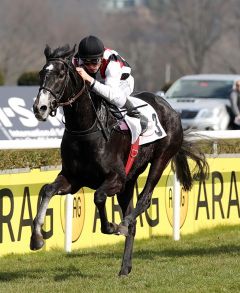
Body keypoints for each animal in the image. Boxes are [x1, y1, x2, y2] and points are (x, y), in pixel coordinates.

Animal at [31, 44, 208, 274]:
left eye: (61, 74)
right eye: (41, 73)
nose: (40, 107)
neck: (86, 130)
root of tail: (170, 108)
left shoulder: (115, 178)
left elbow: (98, 197)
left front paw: (113, 225)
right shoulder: (73, 179)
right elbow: (47, 190)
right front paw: (36, 238)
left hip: (160, 158)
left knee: (143, 200)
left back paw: (124, 224)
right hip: (129, 179)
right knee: (132, 218)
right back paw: (125, 267)